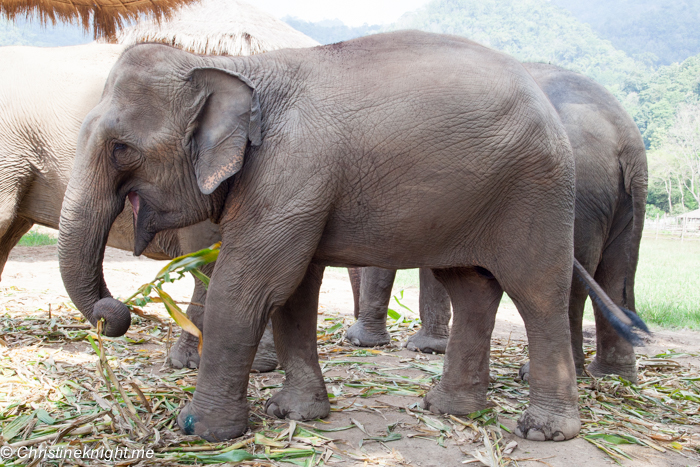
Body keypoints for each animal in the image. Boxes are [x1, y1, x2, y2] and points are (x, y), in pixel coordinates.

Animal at [60, 32, 600, 442]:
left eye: (122, 149)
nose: (115, 313)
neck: (232, 67)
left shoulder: (291, 172)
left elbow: (249, 287)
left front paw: (199, 430)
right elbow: (293, 294)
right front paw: (295, 414)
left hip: (537, 191)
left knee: (538, 294)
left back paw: (544, 431)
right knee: (471, 290)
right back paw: (449, 409)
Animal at [348, 62, 648, 384]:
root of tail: (628, 140)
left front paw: (359, 341)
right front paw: (427, 348)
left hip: (577, 192)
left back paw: (541, 374)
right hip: (619, 204)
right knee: (613, 276)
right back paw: (613, 375)